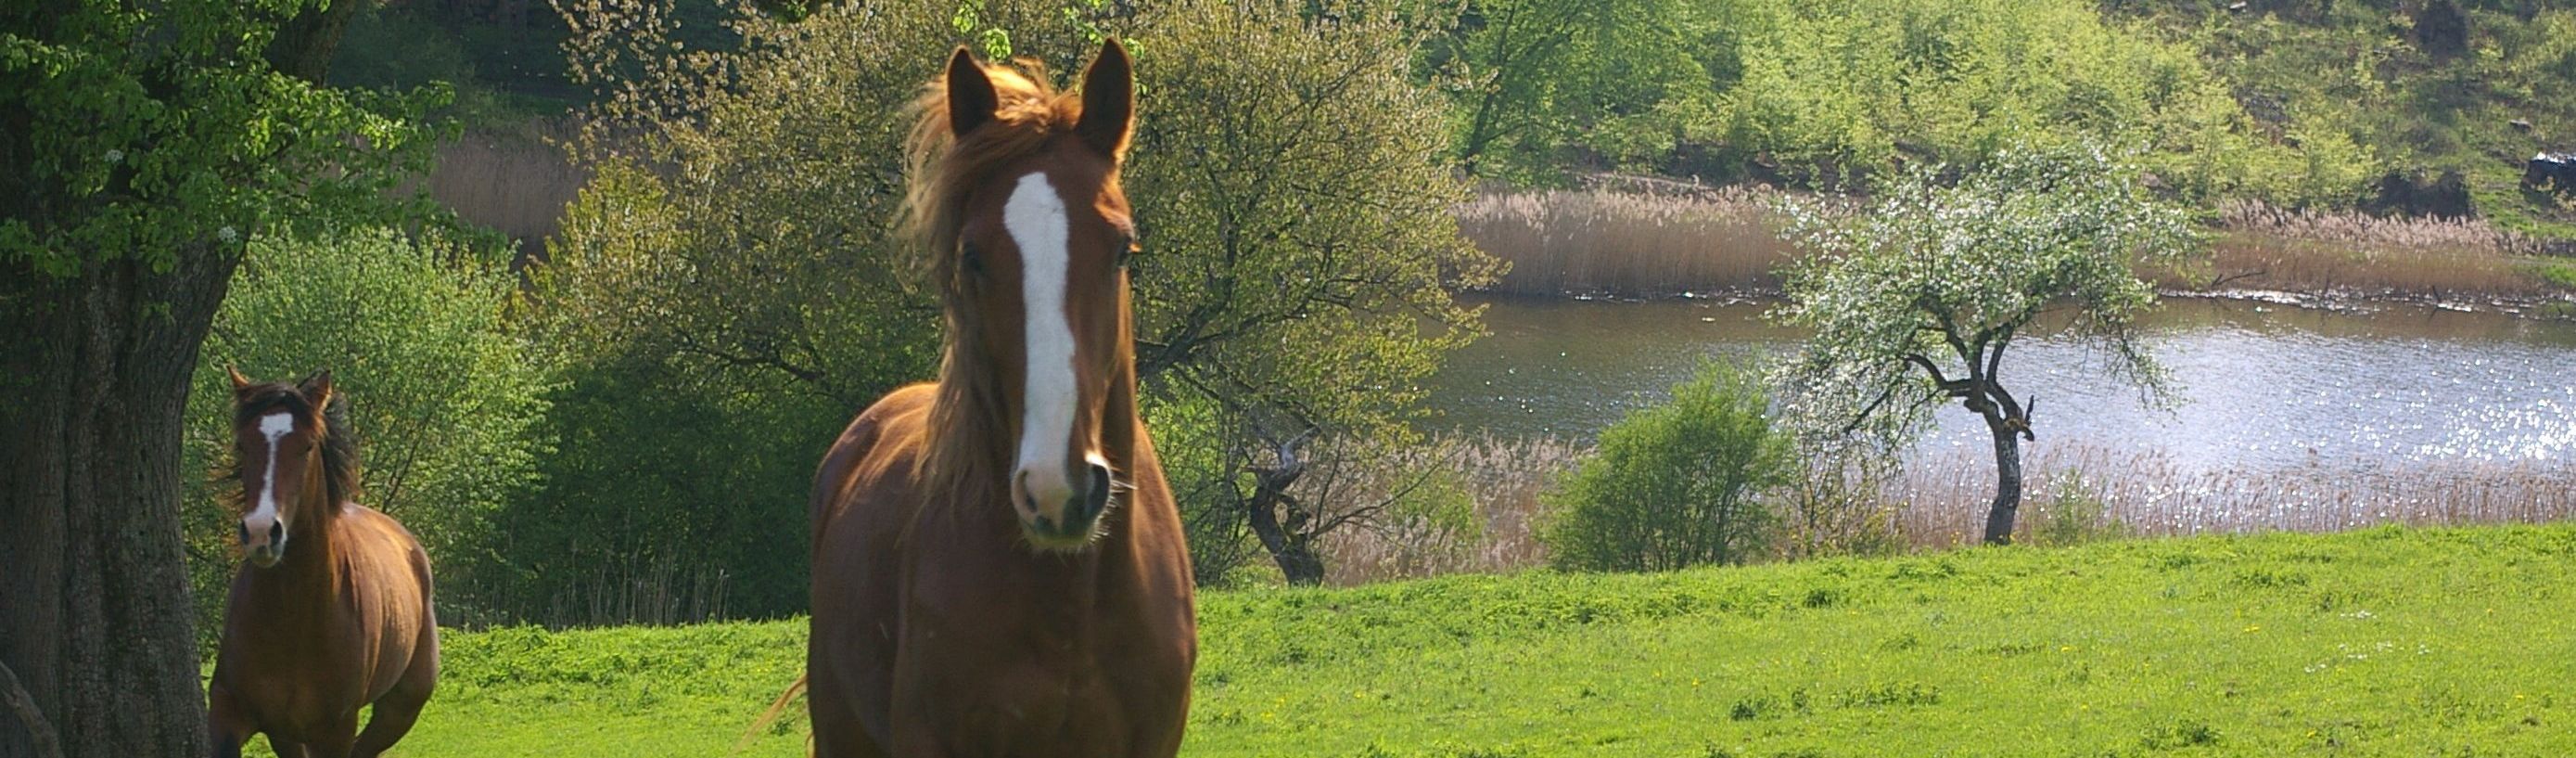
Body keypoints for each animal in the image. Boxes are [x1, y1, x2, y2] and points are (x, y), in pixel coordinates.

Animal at [207, 371, 438, 758]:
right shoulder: (230, 710)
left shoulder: (334, 730)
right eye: (242, 445)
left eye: (307, 446)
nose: (261, 532)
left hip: (399, 709)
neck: (293, 620)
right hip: (288, 735)